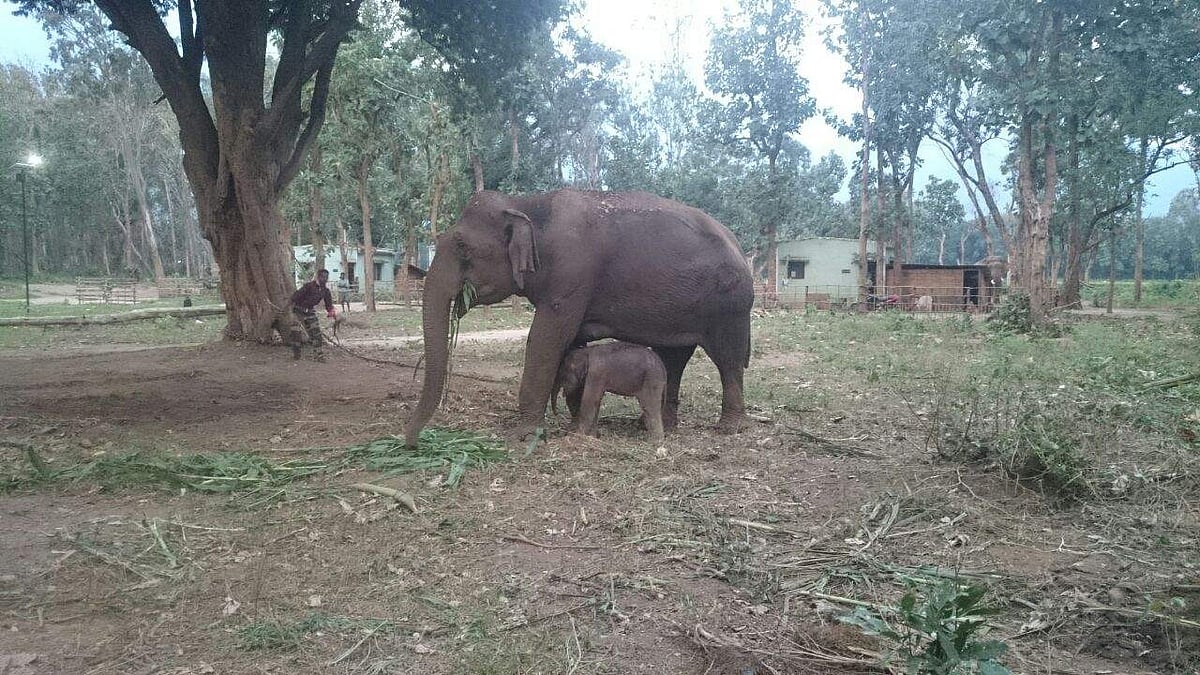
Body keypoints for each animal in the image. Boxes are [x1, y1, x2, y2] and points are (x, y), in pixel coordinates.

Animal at [403, 189, 754, 447]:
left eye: (462, 246)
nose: (412, 442)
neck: (528, 204)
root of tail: (739, 245)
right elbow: (572, 342)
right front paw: (573, 424)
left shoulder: (572, 274)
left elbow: (545, 338)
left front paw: (522, 436)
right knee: (674, 358)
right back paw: (657, 425)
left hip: (730, 306)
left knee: (728, 360)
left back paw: (728, 428)